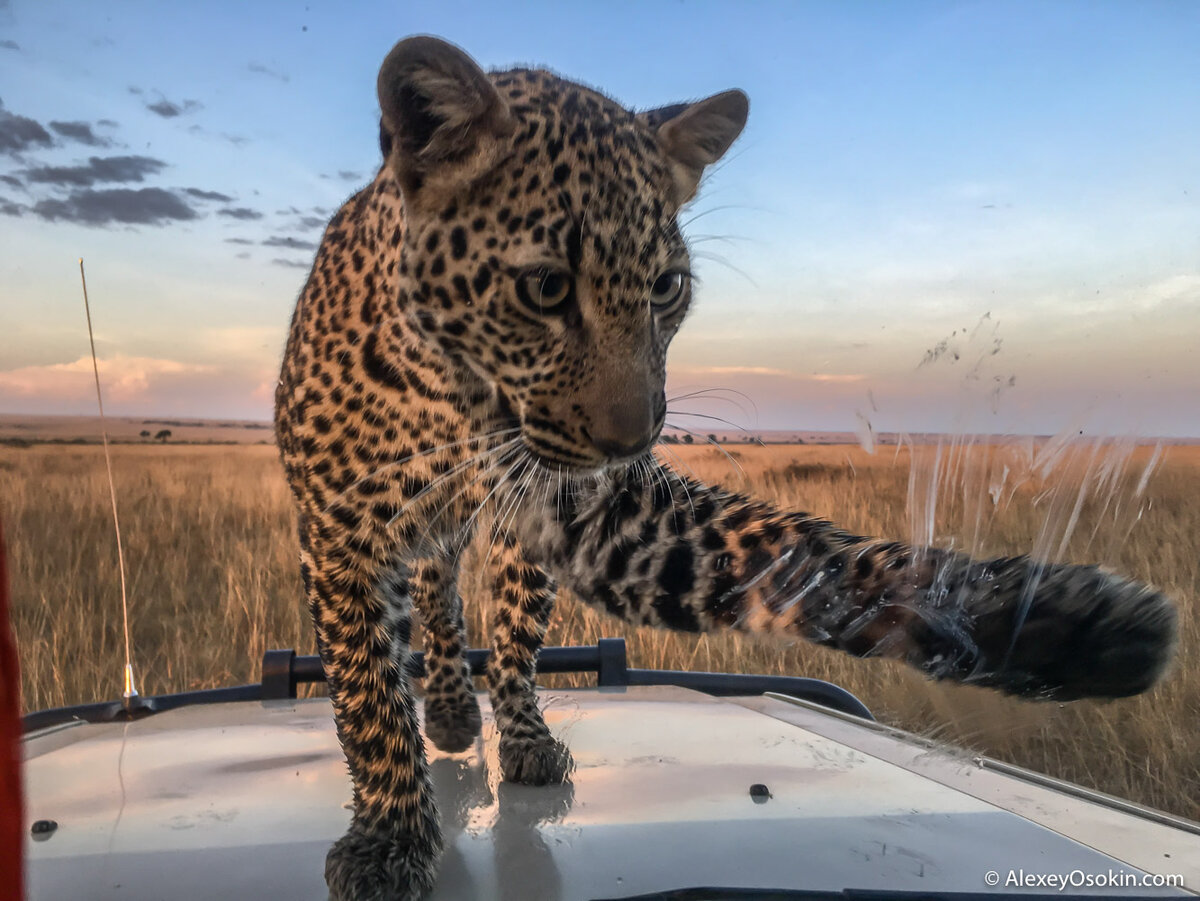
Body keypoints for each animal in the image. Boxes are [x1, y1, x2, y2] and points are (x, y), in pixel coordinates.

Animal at [270, 35, 1171, 901]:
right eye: (545, 287)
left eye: (667, 287)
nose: (631, 439)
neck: (454, 399)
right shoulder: (338, 535)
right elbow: (368, 694)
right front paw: (389, 836)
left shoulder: (601, 518)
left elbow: (800, 555)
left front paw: (1052, 623)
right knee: (436, 597)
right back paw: (453, 708)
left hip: (525, 548)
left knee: (511, 642)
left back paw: (514, 732)